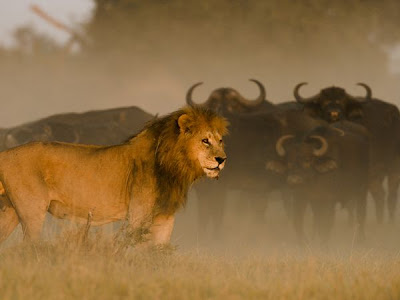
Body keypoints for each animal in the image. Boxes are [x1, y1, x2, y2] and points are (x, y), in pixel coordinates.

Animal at [0, 106, 228, 247]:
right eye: (205, 141)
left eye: (220, 140)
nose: (222, 159)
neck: (172, 166)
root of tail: (5, 152)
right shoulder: (138, 216)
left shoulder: (165, 217)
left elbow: (158, 252)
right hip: (32, 211)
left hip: (10, 211)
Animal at [294, 83, 400, 224]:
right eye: (324, 102)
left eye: (342, 101)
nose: (334, 113)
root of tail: (393, 113)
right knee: (380, 195)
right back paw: (379, 222)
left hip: (393, 166)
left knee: (391, 195)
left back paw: (390, 223)